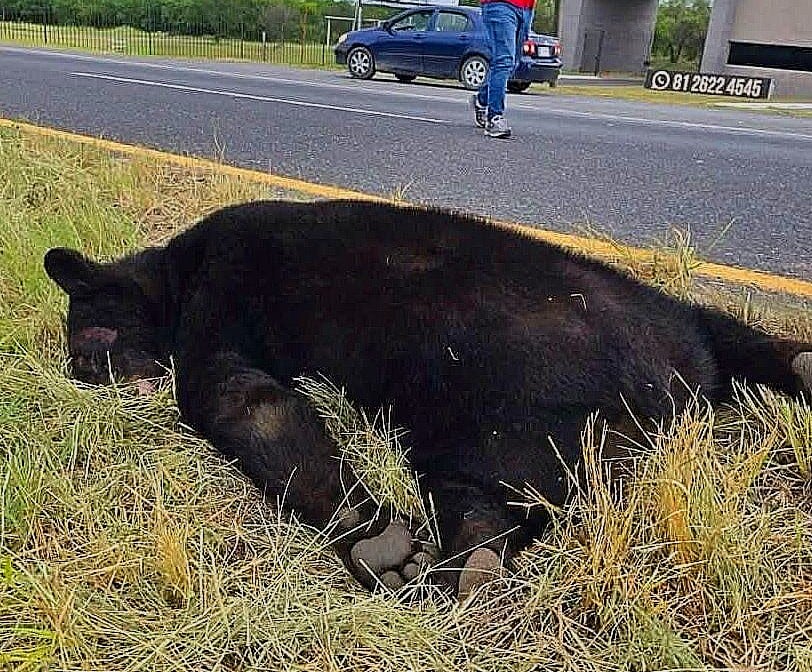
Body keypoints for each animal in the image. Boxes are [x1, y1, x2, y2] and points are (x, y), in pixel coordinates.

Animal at [44, 199, 812, 596]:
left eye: (92, 331)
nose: (82, 371)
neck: (178, 270)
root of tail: (670, 391)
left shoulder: (221, 296)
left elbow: (237, 399)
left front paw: (373, 535)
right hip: (663, 319)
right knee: (731, 335)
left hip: (478, 411)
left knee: (478, 483)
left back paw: (436, 559)